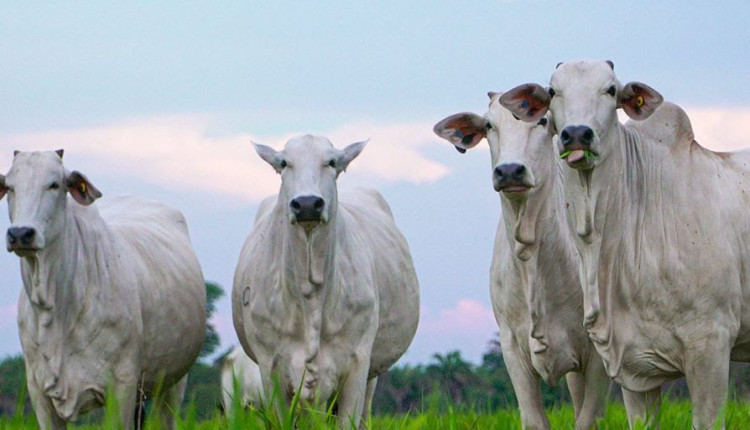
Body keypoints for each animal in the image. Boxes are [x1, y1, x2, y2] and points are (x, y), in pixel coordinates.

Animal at [0, 149, 206, 428]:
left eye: (54, 184)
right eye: (10, 187)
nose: (21, 234)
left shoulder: (122, 386)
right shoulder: (38, 391)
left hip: (173, 383)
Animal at [232, 134, 420, 426]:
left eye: (331, 162)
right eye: (284, 163)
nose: (308, 203)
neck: (311, 294)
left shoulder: (357, 363)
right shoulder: (270, 367)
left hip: (370, 375)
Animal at [434, 92, 612, 428]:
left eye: (542, 120)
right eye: (489, 125)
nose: (509, 171)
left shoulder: (597, 352)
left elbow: (587, 419)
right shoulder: (512, 349)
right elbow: (535, 420)